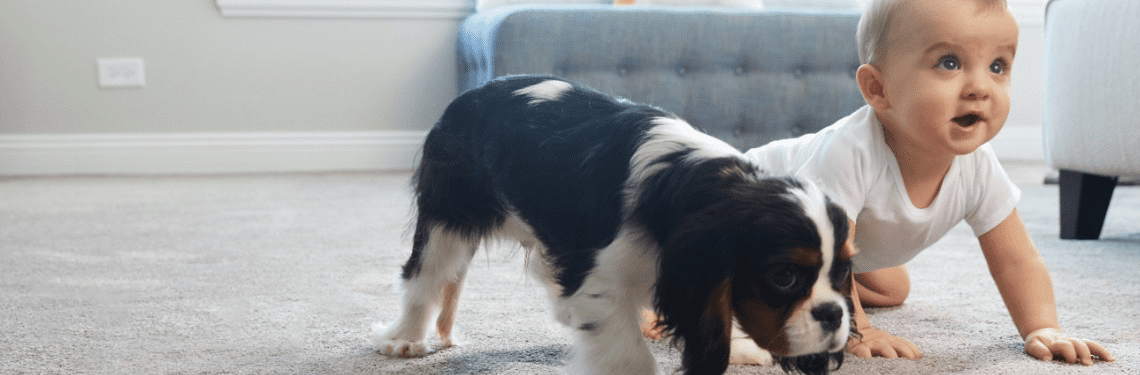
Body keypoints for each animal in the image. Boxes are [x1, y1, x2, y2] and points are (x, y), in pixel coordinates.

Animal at [376, 75, 857, 373]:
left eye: (842, 272)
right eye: (783, 277)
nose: (835, 315)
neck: (686, 181)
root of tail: (470, 92)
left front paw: (737, 345)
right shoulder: (602, 280)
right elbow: (630, 356)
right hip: (448, 216)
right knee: (423, 276)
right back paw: (405, 338)